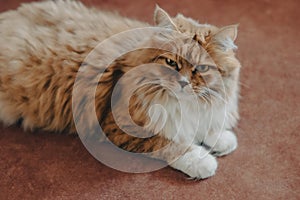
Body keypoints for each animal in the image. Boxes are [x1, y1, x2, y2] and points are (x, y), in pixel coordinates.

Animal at [0, 0, 240, 178]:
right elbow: (171, 144)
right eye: (171, 63)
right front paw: (203, 161)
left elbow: (207, 125)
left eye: (201, 68)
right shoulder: (119, 125)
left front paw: (222, 139)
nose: (183, 83)